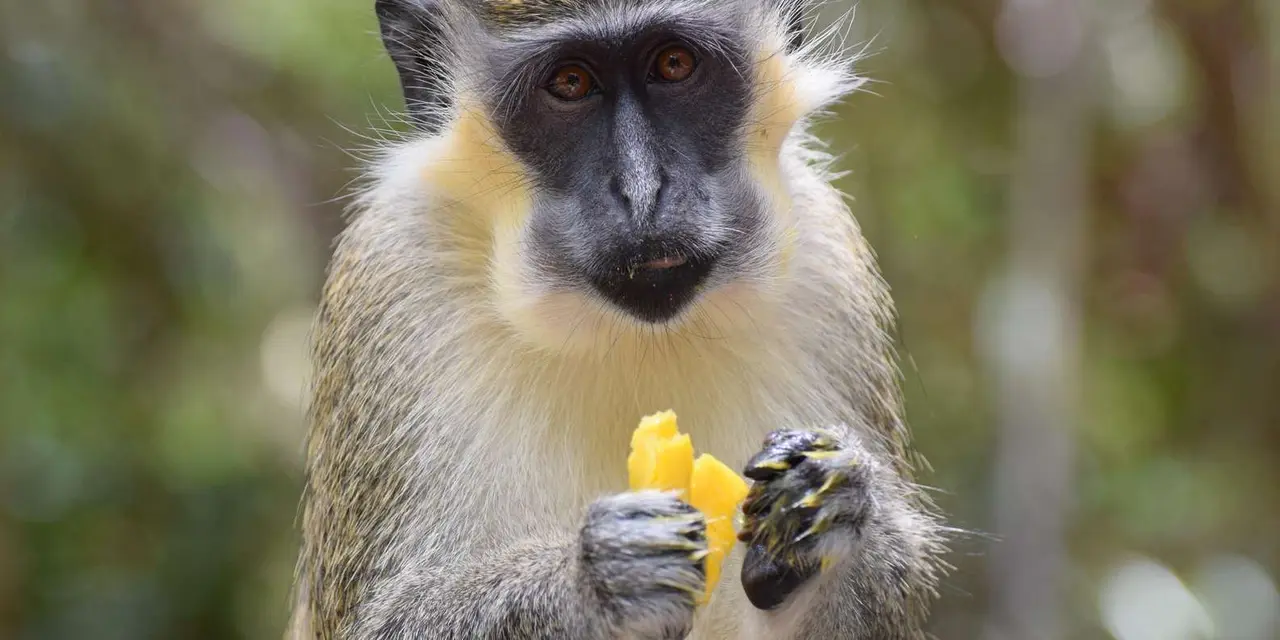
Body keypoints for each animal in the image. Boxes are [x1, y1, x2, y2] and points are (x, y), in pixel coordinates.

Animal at [289, 0, 947, 638]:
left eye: (674, 64)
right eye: (570, 83)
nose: (643, 192)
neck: (627, 332)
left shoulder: (825, 262)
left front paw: (835, 501)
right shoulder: (392, 277)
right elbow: (384, 621)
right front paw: (597, 577)